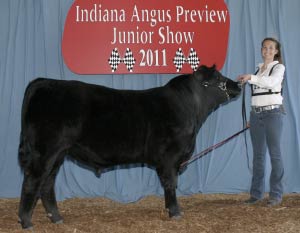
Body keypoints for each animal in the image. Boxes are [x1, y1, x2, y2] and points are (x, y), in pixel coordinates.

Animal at [18, 65, 239, 228]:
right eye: (219, 77)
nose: (237, 84)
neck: (191, 110)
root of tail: (43, 81)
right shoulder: (170, 158)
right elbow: (171, 184)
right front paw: (175, 212)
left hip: (58, 154)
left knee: (47, 184)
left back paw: (56, 218)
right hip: (45, 151)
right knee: (32, 181)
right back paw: (26, 222)